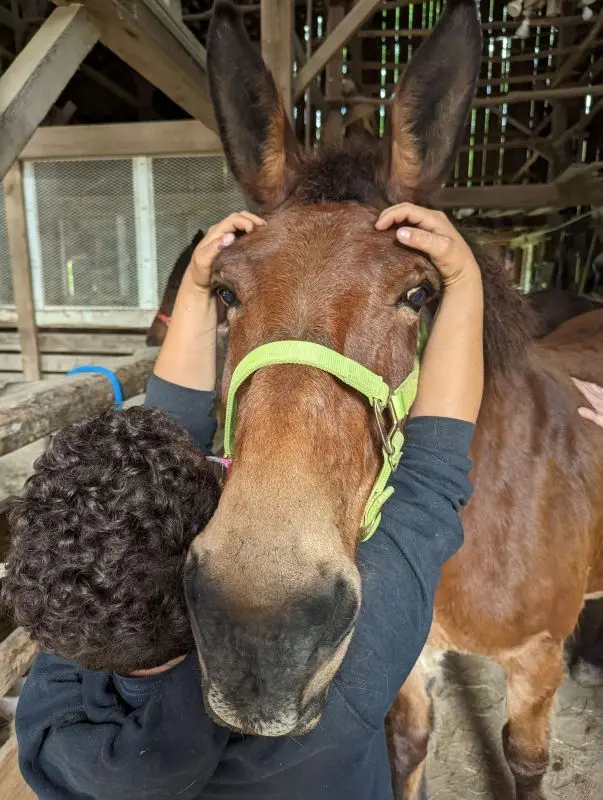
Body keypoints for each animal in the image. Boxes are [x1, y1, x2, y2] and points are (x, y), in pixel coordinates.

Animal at [184, 3, 603, 799]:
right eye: (223, 290)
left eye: (417, 294)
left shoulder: (536, 662)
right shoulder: (411, 662)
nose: (259, 635)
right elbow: (407, 747)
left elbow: (525, 762)